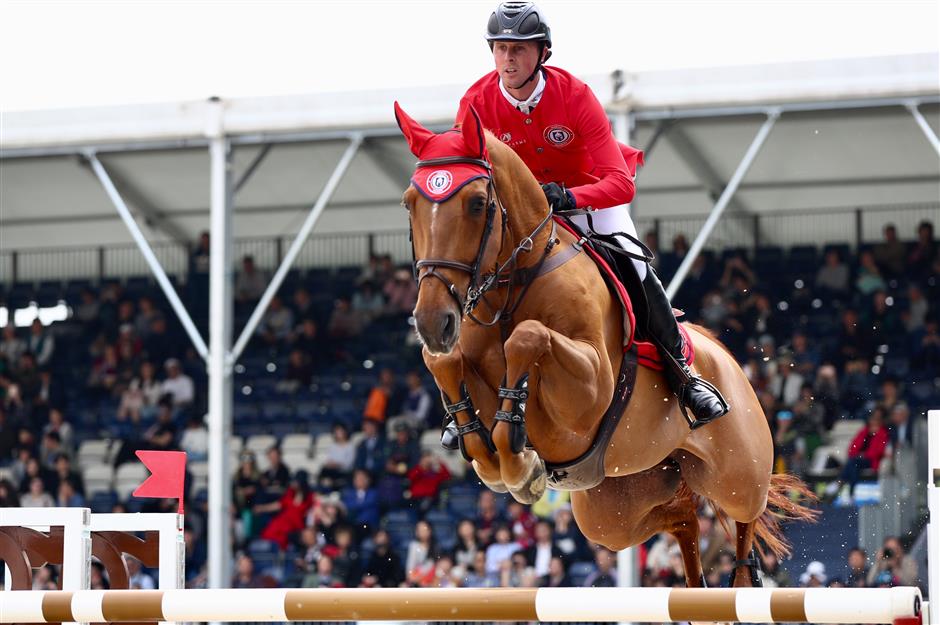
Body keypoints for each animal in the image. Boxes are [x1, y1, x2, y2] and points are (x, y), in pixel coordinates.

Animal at [392, 100, 812, 588]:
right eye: (409, 204)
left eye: (478, 204)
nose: (432, 320)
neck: (514, 282)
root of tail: (726, 357)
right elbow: (446, 365)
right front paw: (504, 458)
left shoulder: (588, 393)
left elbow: (528, 336)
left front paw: (521, 465)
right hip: (614, 508)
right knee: (682, 517)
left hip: (736, 471)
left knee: (746, 512)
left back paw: (744, 575)